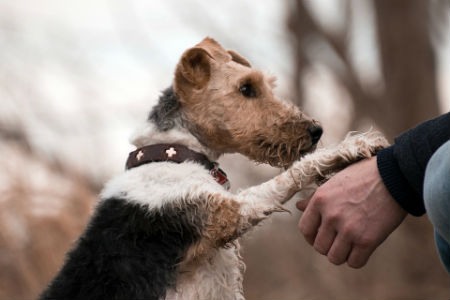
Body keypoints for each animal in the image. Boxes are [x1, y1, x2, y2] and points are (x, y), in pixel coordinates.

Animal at [40, 38, 388, 300]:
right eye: (246, 88)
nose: (315, 130)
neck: (174, 153)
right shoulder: (227, 213)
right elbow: (289, 175)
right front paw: (352, 147)